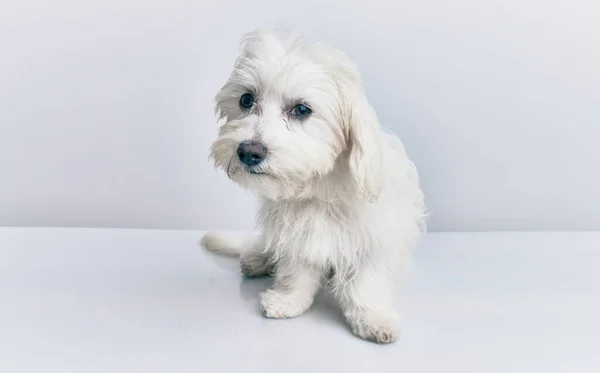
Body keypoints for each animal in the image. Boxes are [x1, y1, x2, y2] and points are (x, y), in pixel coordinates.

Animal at [202, 29, 426, 342]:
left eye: (302, 109)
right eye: (246, 100)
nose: (248, 152)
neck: (320, 187)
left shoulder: (374, 240)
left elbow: (365, 283)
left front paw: (372, 316)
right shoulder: (297, 236)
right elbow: (297, 273)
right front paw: (289, 300)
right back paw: (258, 258)